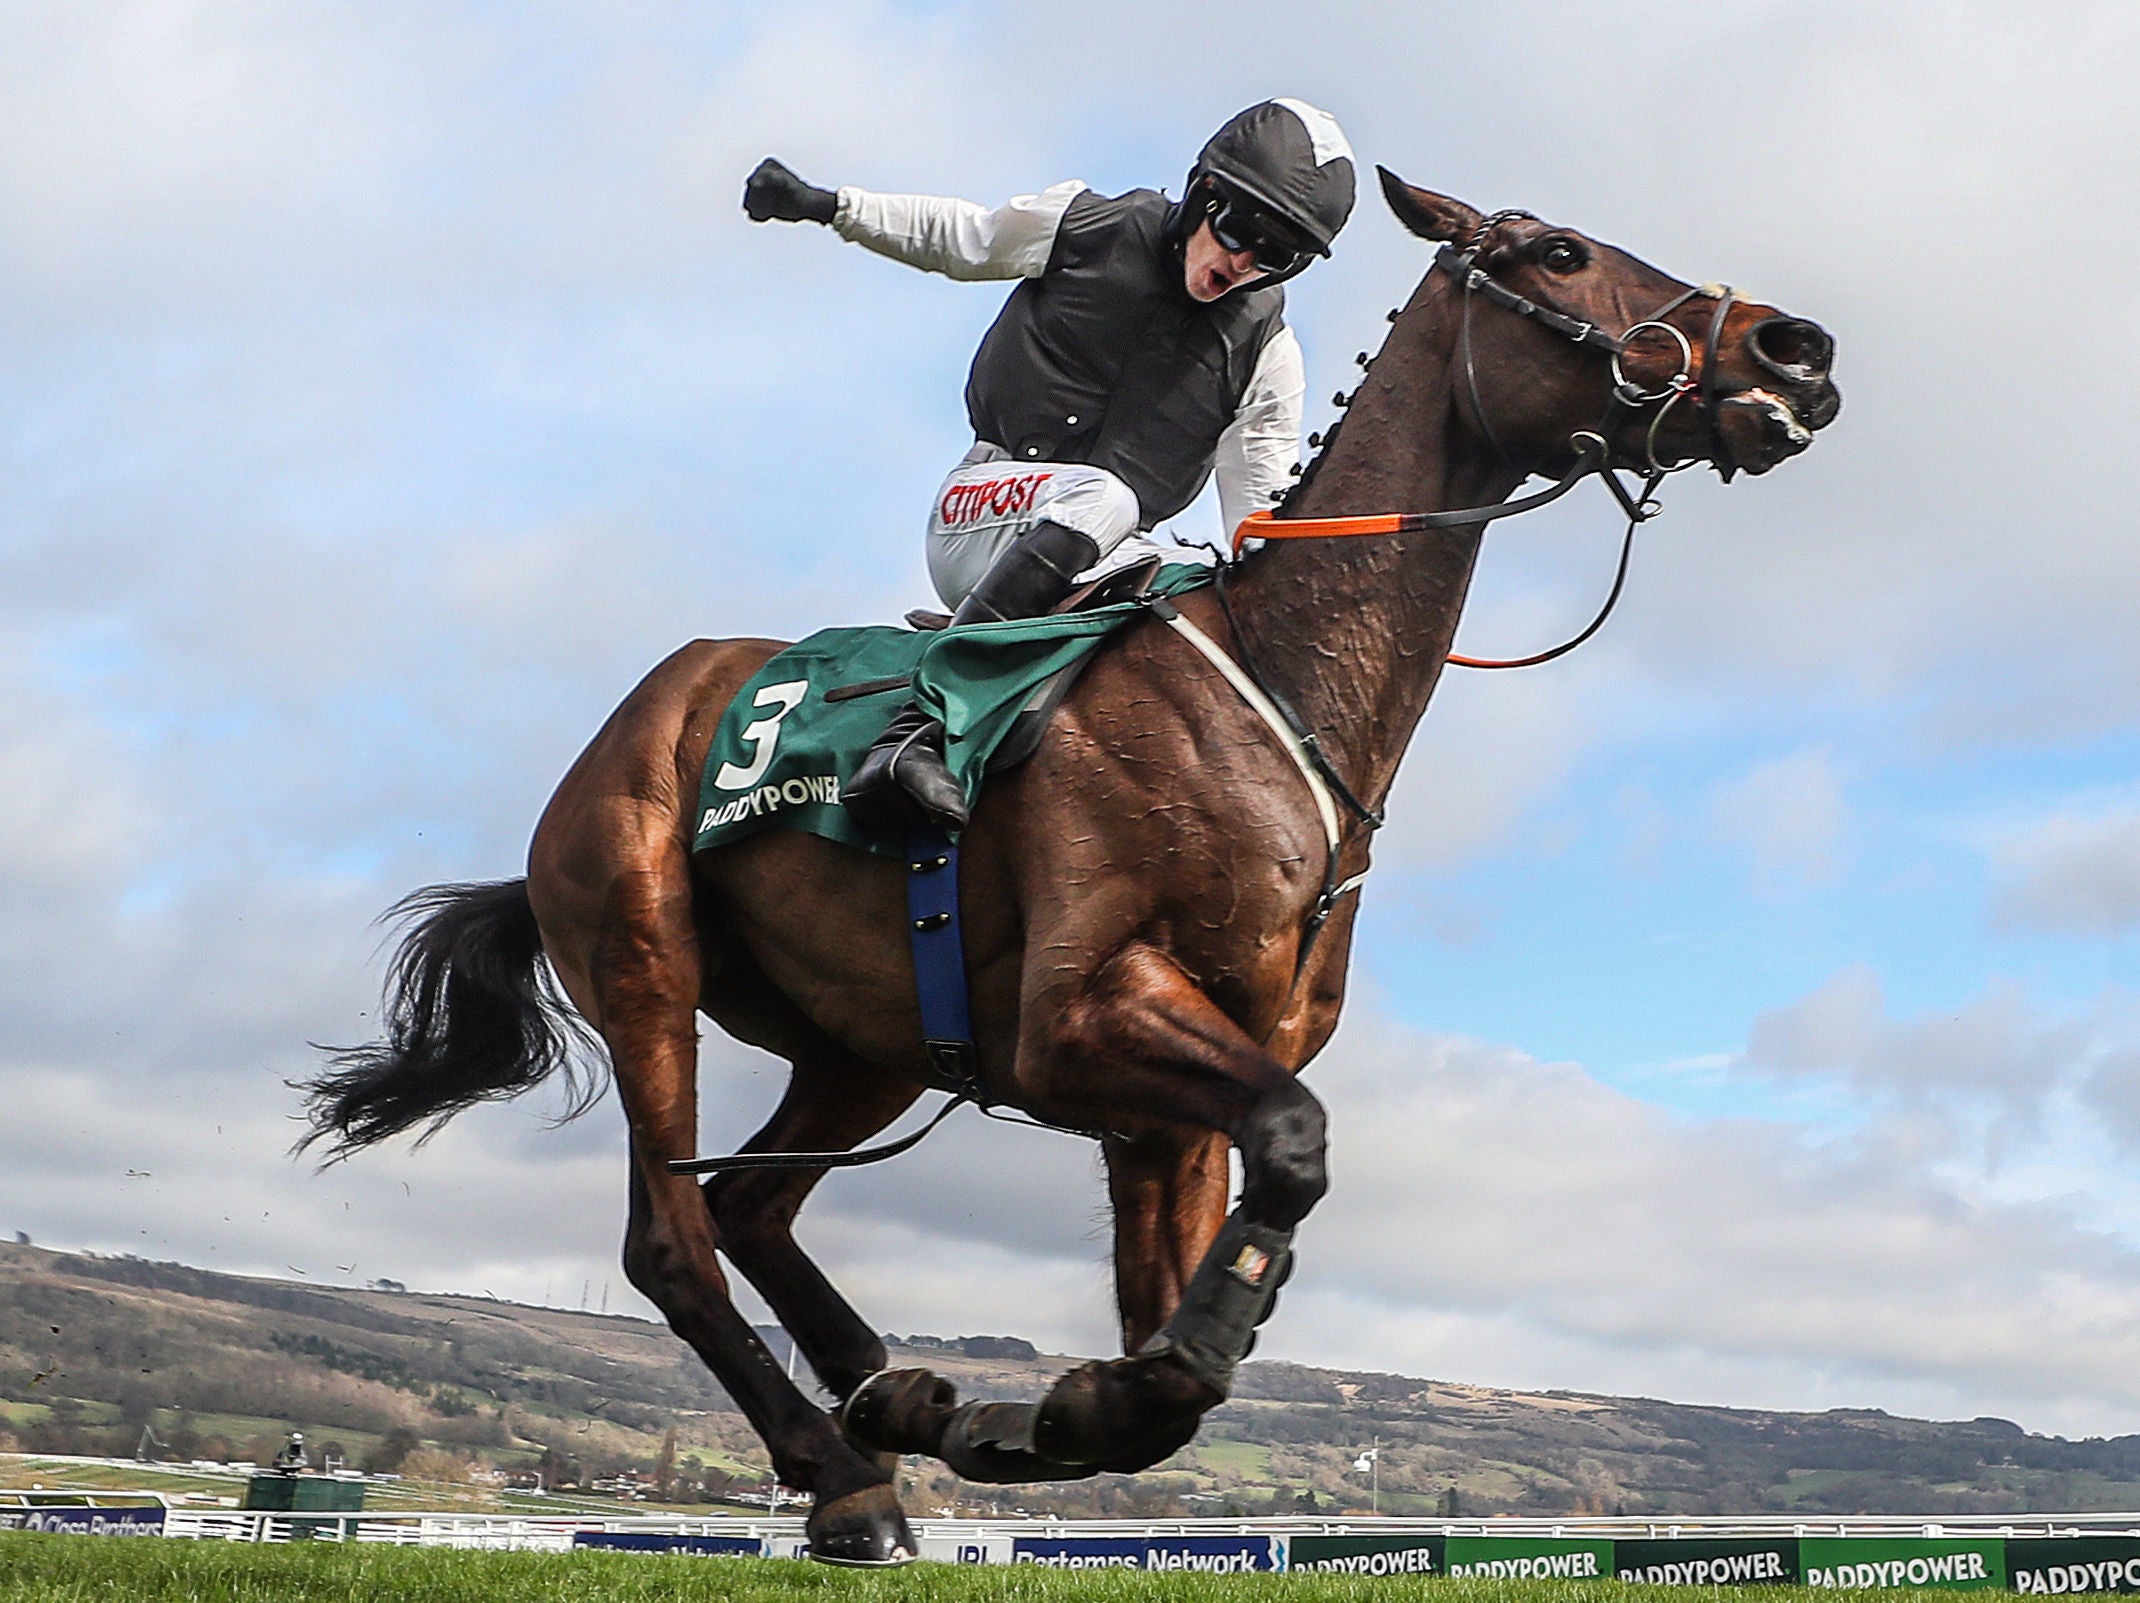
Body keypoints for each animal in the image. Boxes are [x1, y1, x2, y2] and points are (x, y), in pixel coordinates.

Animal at [301, 169, 1840, 1558]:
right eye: (1561, 251)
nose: (1796, 349)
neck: (1279, 682)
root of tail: (628, 721)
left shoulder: (1170, 1101)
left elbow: (1191, 1330)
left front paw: (1035, 1408)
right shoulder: (1077, 1021)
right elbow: (1291, 1154)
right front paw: (1068, 1405)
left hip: (870, 1041)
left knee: (748, 1205)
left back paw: (889, 1402)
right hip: (643, 960)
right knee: (673, 1236)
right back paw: (842, 1471)